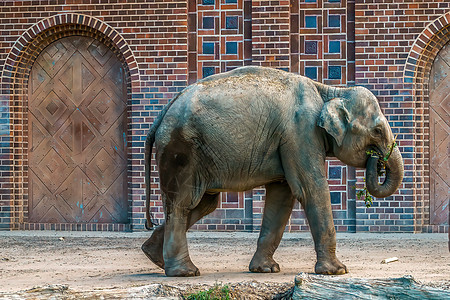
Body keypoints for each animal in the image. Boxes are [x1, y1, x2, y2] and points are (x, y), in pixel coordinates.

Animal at [142, 65, 404, 276]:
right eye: (377, 131)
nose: (377, 160)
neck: (330, 91)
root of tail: (163, 112)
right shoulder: (301, 133)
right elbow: (311, 189)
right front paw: (337, 271)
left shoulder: (289, 140)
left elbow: (282, 198)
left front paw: (266, 269)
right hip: (181, 151)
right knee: (183, 203)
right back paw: (184, 272)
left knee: (204, 204)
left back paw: (154, 257)